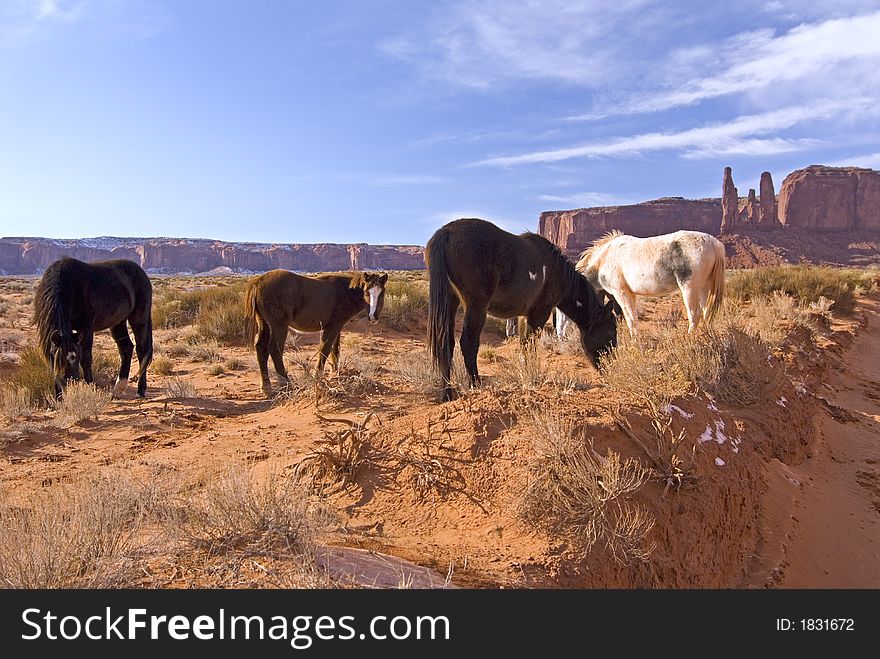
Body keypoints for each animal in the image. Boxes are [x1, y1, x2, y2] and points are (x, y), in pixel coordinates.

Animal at [34, 260, 155, 398]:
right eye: (57, 357)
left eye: (75, 357)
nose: (70, 383)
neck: (68, 286)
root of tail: (142, 273)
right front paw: (58, 398)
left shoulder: (87, 327)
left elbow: (86, 359)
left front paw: (90, 387)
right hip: (118, 322)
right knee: (126, 348)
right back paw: (117, 389)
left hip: (139, 319)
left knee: (142, 351)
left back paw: (140, 390)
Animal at [246, 270, 386, 398]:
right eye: (366, 292)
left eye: (382, 293)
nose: (373, 317)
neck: (344, 291)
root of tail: (258, 282)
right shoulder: (332, 327)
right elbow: (325, 349)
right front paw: (317, 376)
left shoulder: (338, 327)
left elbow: (335, 351)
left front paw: (335, 373)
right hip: (278, 325)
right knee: (275, 349)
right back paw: (286, 384)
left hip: (264, 324)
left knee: (261, 348)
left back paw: (266, 387)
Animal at [426, 219, 620, 400]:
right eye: (611, 332)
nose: (612, 366)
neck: (559, 274)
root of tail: (447, 232)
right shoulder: (540, 313)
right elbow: (530, 345)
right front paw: (531, 375)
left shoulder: (524, 316)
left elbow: (524, 344)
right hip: (476, 306)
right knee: (468, 343)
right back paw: (476, 387)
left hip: (451, 301)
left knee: (446, 344)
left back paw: (447, 394)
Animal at [576, 231, 724, 336]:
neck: (604, 258)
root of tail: (713, 242)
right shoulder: (629, 294)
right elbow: (630, 318)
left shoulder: (621, 293)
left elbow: (630, 320)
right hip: (705, 288)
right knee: (707, 312)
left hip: (690, 288)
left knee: (694, 315)